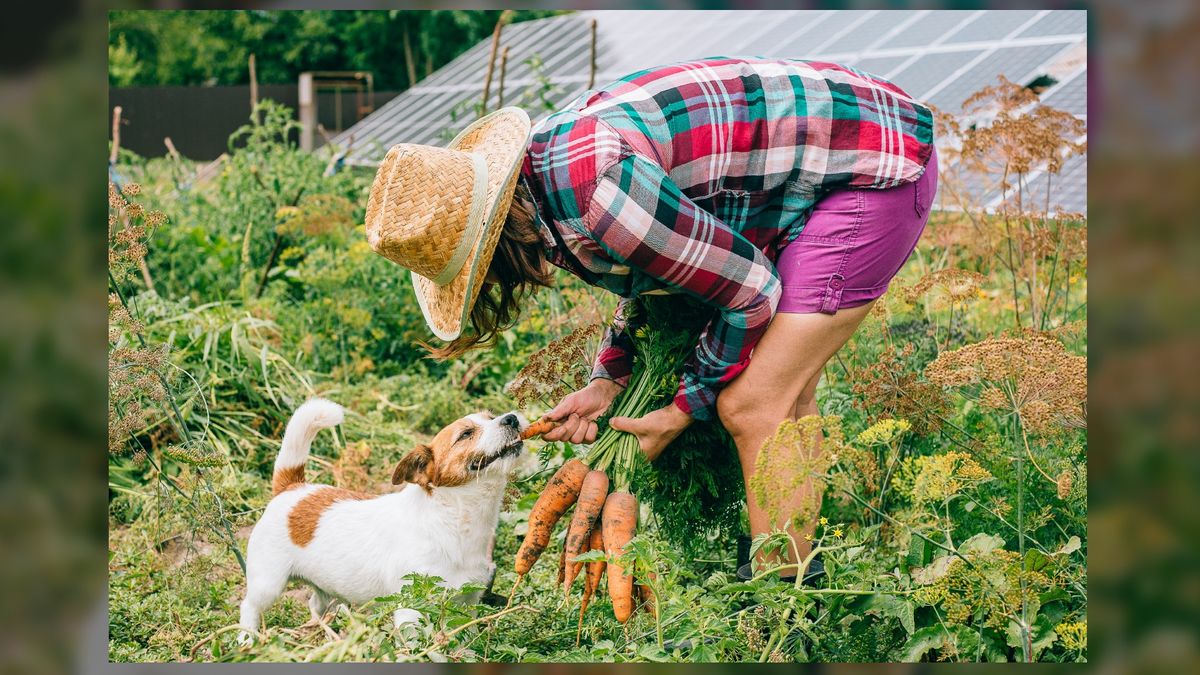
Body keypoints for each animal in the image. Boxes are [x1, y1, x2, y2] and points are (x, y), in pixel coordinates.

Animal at [238, 396, 525, 638]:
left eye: (491, 416)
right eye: (466, 434)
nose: (511, 418)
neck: (453, 520)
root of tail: (293, 487)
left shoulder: (467, 604)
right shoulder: (411, 609)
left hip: (328, 587)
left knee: (317, 603)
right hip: (268, 584)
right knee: (249, 607)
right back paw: (247, 639)